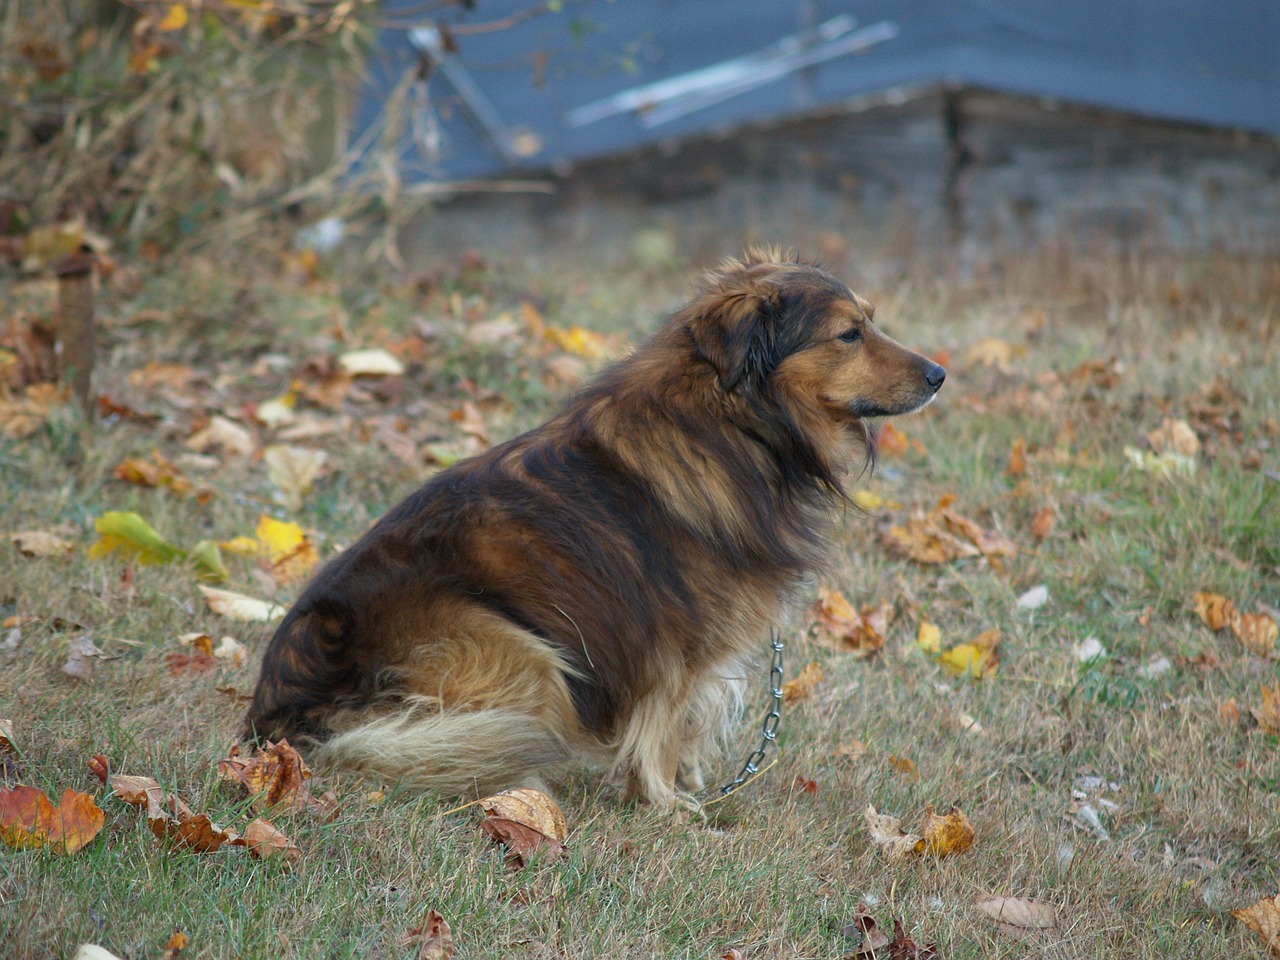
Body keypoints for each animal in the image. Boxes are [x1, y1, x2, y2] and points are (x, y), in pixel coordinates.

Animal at [247, 249, 942, 814]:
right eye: (848, 334)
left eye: (871, 321)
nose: (939, 374)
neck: (733, 421)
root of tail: (275, 723)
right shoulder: (668, 639)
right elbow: (663, 723)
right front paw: (668, 806)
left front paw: (685, 786)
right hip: (523, 652)